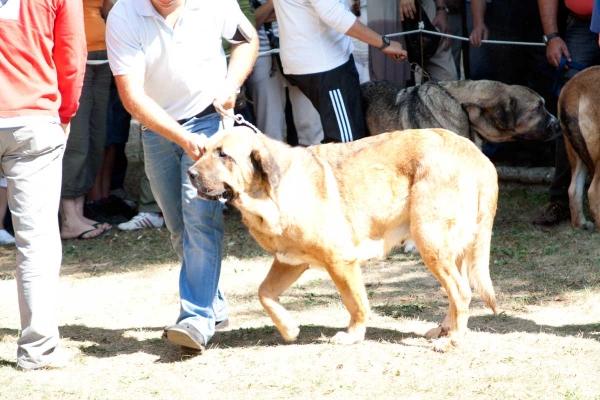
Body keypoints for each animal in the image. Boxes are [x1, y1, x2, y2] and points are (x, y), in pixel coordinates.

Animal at [188, 126, 496, 352]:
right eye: (204, 151)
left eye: (223, 155)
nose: (190, 173)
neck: (271, 196)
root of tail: (475, 154)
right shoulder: (290, 261)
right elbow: (264, 293)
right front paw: (289, 328)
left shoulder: (340, 261)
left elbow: (355, 303)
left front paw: (352, 335)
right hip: (446, 250)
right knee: (458, 292)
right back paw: (444, 330)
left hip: (429, 241)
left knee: (461, 292)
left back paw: (453, 340)